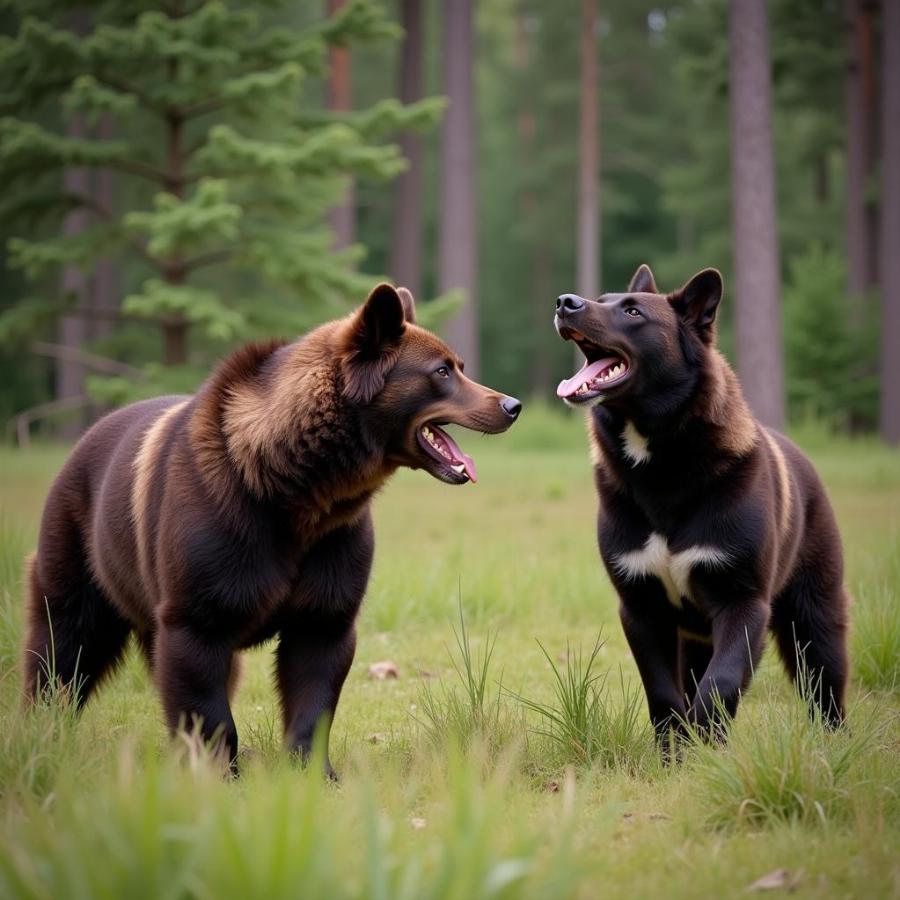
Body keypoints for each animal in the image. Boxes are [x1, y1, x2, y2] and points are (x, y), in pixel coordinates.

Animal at [556, 264, 852, 740]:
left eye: (633, 312)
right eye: (600, 299)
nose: (565, 303)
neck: (661, 464)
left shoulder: (743, 603)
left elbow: (722, 682)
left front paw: (706, 739)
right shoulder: (642, 609)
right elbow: (663, 693)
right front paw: (679, 749)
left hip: (815, 623)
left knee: (827, 694)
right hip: (696, 637)